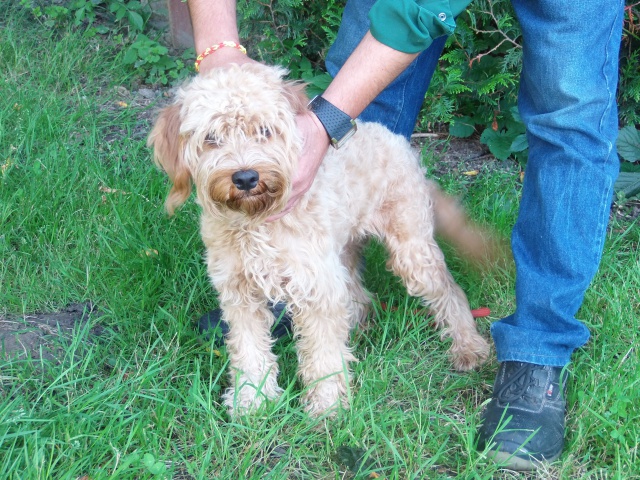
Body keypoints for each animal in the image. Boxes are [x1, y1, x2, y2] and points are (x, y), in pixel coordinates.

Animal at [149, 62, 490, 416]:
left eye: (265, 130)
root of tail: (398, 140)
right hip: (343, 252)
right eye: (211, 138)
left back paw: (468, 346)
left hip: (411, 252)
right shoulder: (239, 294)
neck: (257, 224)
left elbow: (323, 355)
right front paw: (251, 401)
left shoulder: (317, 290)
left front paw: (327, 407)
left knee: (450, 289)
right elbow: (249, 351)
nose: (245, 177)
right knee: (360, 297)